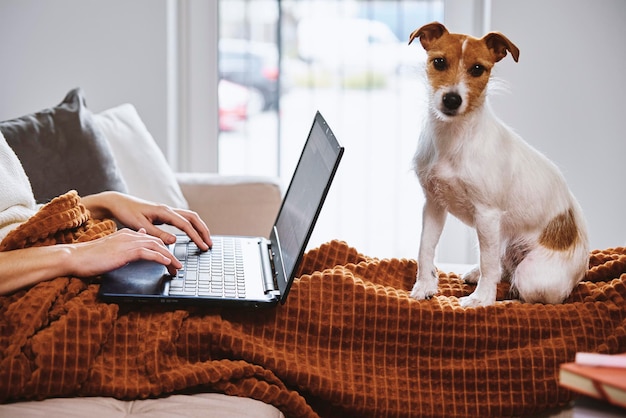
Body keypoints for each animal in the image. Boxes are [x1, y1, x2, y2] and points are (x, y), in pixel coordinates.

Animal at [408, 22, 588, 306]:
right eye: (438, 62)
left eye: (477, 69)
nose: (452, 100)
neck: (454, 139)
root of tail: (584, 266)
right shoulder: (434, 204)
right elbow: (425, 248)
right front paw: (425, 285)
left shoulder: (487, 215)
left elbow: (488, 264)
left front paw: (482, 299)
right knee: (503, 267)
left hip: (531, 274)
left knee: (527, 289)